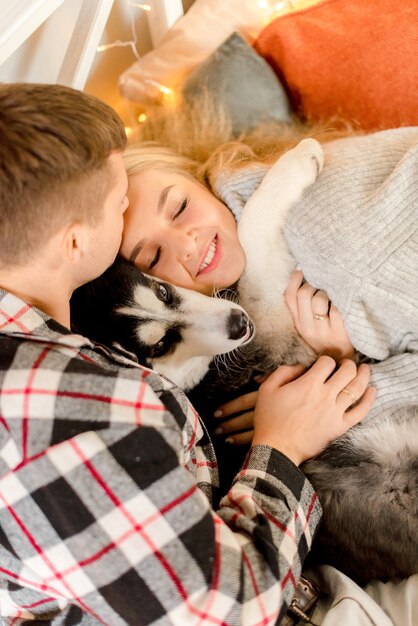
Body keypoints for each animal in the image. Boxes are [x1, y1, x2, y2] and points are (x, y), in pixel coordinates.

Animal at [70, 139, 416, 584]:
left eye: (162, 290)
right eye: (161, 345)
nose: (237, 324)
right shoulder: (273, 326)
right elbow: (252, 244)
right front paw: (298, 160)